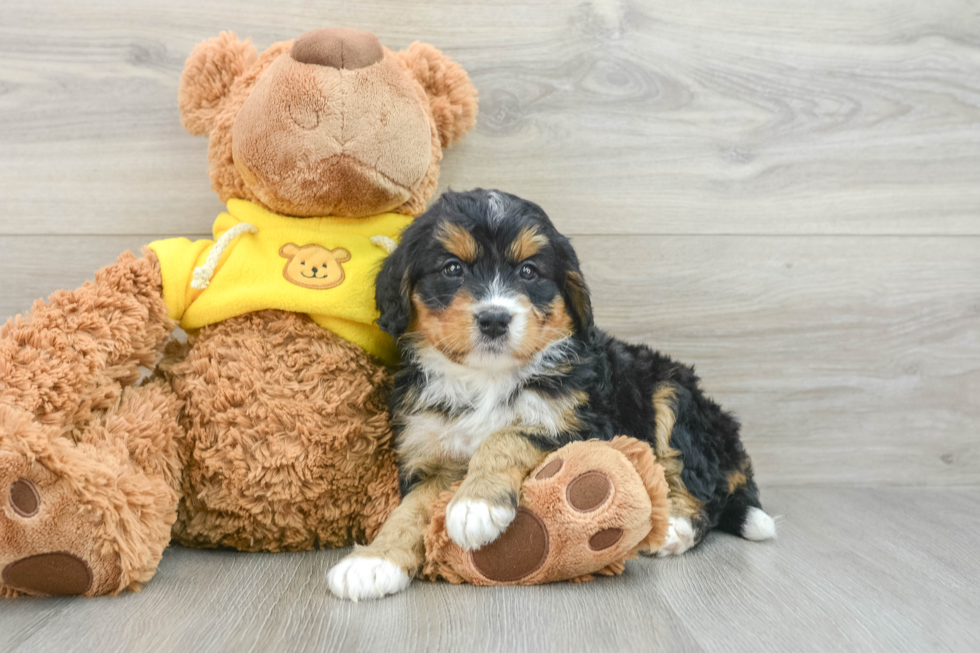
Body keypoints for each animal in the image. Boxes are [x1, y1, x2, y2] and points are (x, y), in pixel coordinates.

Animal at [330, 188, 772, 600]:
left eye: (529, 271)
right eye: (452, 268)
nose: (495, 319)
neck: (487, 378)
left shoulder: (581, 424)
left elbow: (507, 435)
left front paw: (476, 504)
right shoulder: (431, 450)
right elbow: (410, 509)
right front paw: (374, 562)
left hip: (671, 394)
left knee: (703, 487)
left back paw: (674, 528)